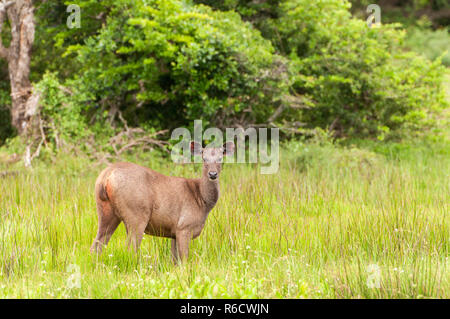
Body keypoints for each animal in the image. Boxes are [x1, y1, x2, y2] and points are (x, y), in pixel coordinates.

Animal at [89, 141, 234, 264]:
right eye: (204, 159)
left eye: (220, 158)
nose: (213, 174)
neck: (202, 201)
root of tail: (106, 177)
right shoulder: (184, 226)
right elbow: (184, 260)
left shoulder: (174, 231)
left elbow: (175, 261)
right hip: (136, 213)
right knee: (130, 248)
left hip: (105, 211)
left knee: (97, 244)